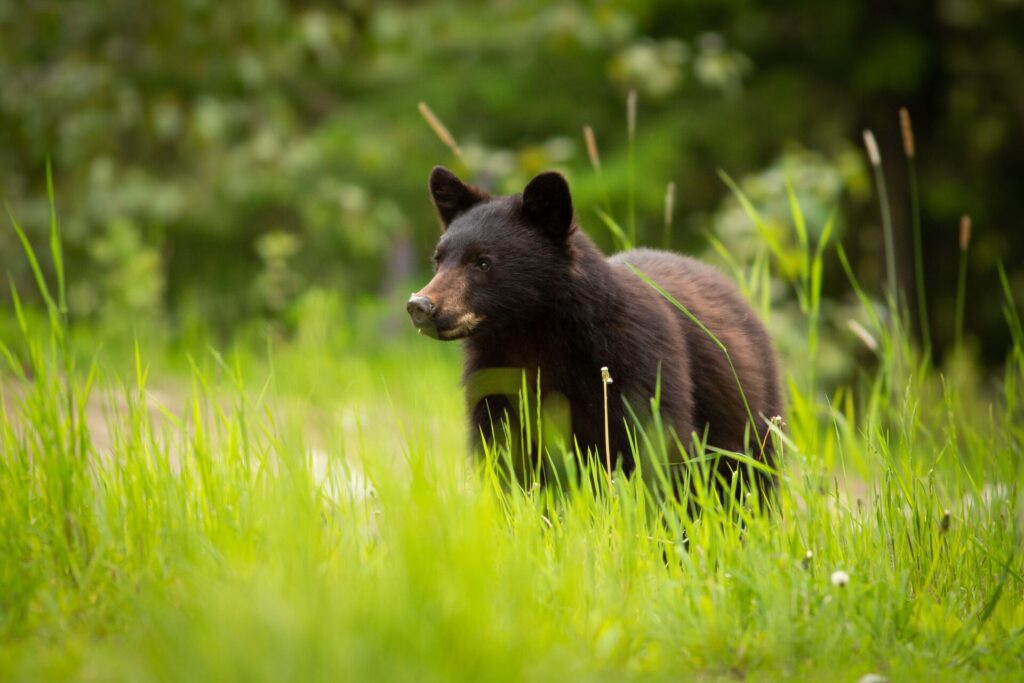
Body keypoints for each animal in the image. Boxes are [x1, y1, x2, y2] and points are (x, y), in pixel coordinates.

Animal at [407, 166, 782, 498]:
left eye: (483, 262)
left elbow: (659, 451)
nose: (420, 305)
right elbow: (503, 457)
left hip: (751, 409)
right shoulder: (496, 379)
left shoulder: (637, 362)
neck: (534, 335)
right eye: (439, 259)